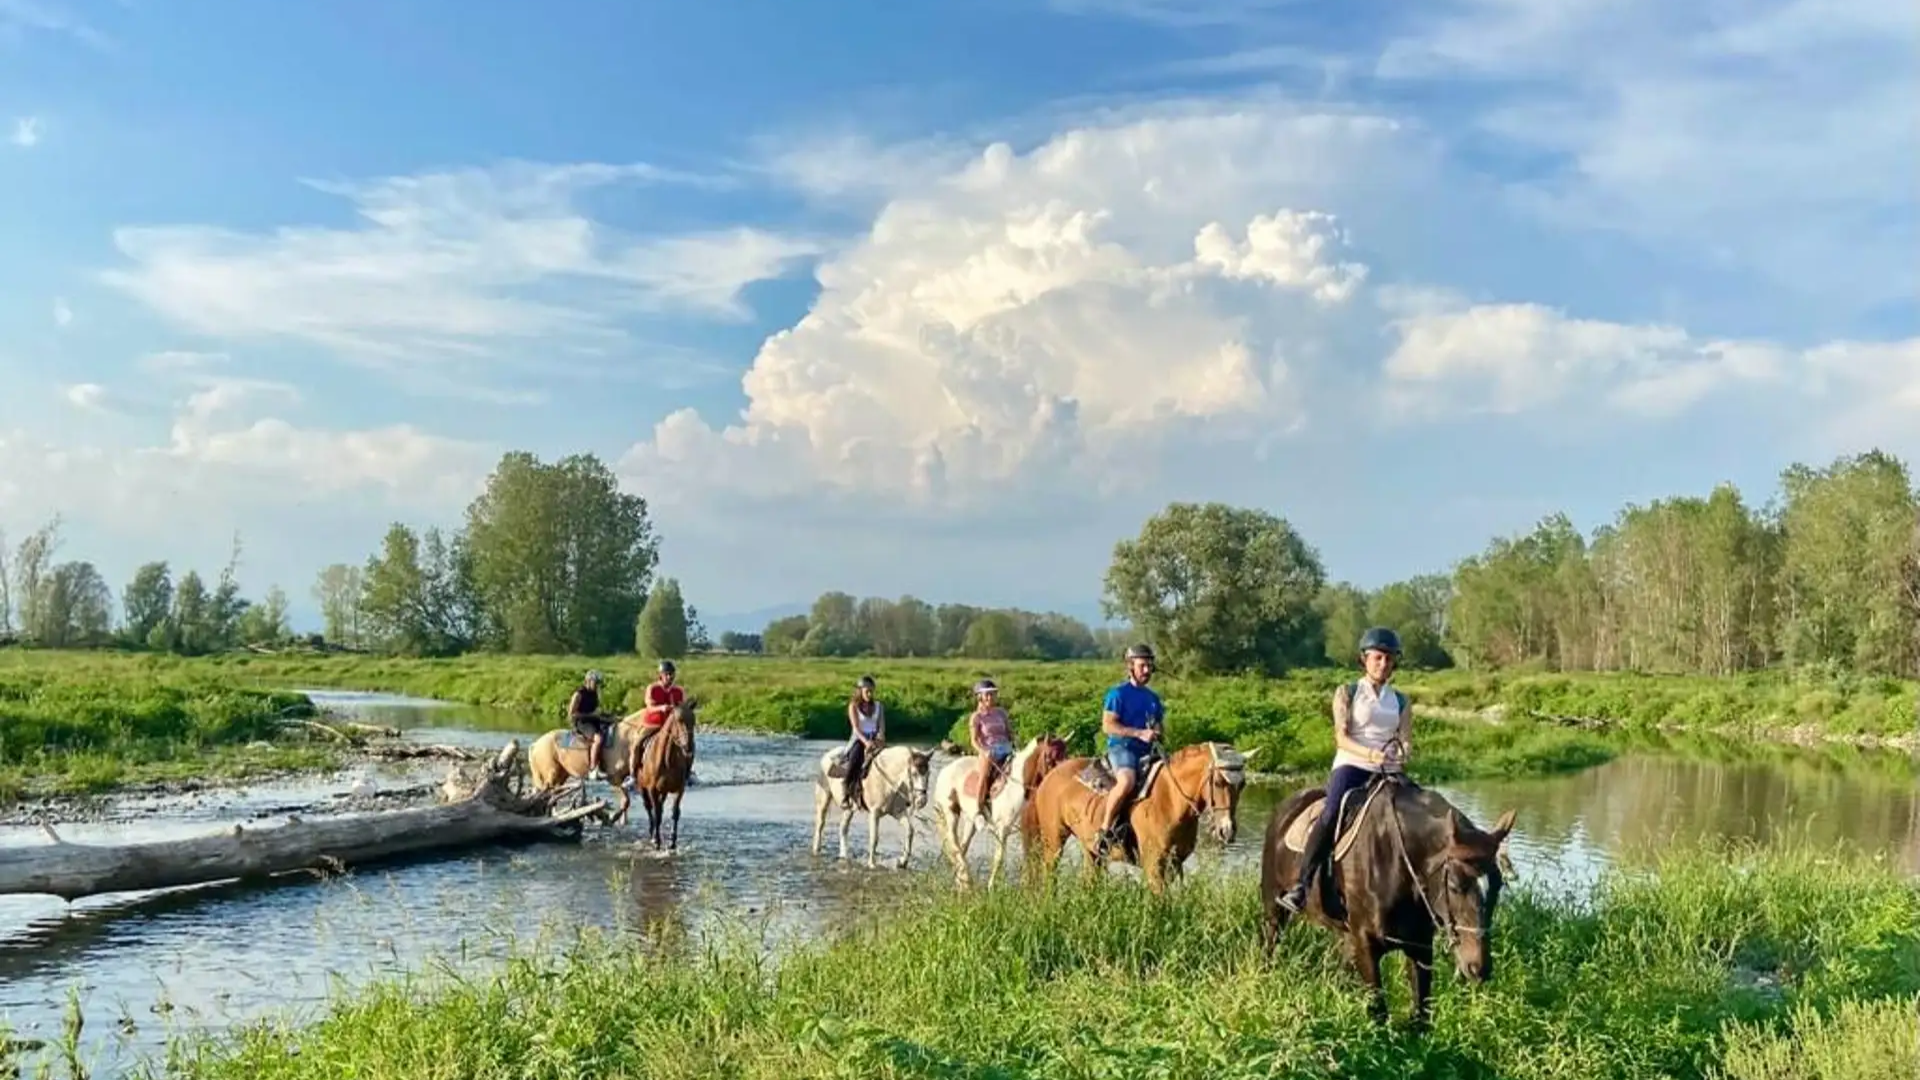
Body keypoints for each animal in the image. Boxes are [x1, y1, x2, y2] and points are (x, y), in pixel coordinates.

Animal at [625, 699, 695, 849]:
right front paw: (656, 840)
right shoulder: (652, 789)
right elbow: (656, 813)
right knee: (649, 808)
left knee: (660, 808)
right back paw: (652, 833)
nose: (689, 747)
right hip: (642, 787)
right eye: (679, 720)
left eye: (694, 720)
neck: (667, 759)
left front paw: (672, 841)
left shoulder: (679, 789)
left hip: (664, 791)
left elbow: (675, 812)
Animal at [936, 730, 1075, 883]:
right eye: (1050, 757)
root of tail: (946, 770)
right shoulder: (1003, 829)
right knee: (955, 846)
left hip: (970, 820)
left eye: (1067, 755)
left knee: (962, 848)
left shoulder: (1031, 830)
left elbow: (1032, 859)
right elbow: (1000, 859)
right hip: (950, 813)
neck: (1019, 787)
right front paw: (992, 886)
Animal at [1021, 737, 1259, 891]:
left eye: (1243, 784)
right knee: (1050, 873)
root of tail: (1050, 776)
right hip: (1054, 839)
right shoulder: (1154, 865)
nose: (1227, 830)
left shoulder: (1175, 864)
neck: (1170, 799)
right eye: (1218, 782)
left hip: (1092, 850)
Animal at [1259, 772, 1512, 1022]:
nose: (1478, 968)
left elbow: (1421, 1016)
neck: (1397, 859)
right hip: (1274, 907)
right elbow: (1379, 1013)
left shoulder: (1420, 946)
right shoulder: (1366, 945)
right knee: (1271, 943)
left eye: (1498, 885)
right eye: (1454, 885)